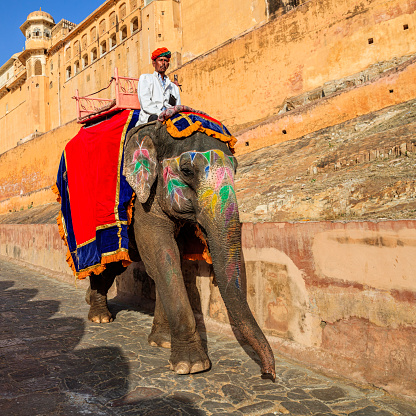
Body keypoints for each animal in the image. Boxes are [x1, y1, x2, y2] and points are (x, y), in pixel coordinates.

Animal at [85, 120, 276, 380]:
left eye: (236, 168)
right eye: (186, 171)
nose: (268, 374)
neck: (156, 129)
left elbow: (173, 257)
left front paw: (162, 342)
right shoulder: (145, 202)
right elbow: (163, 256)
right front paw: (192, 366)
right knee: (107, 267)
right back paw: (100, 317)